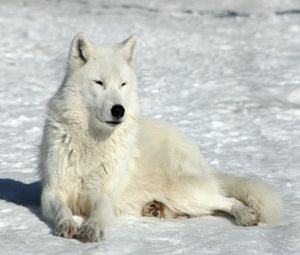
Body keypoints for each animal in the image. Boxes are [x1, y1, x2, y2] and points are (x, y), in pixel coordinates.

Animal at [40, 32, 284, 242]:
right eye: (99, 83)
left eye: (123, 84)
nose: (119, 110)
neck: (91, 142)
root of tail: (199, 157)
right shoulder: (51, 192)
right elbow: (62, 209)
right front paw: (67, 225)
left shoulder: (105, 195)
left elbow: (98, 213)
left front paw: (92, 229)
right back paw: (156, 209)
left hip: (186, 192)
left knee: (225, 200)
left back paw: (245, 214)